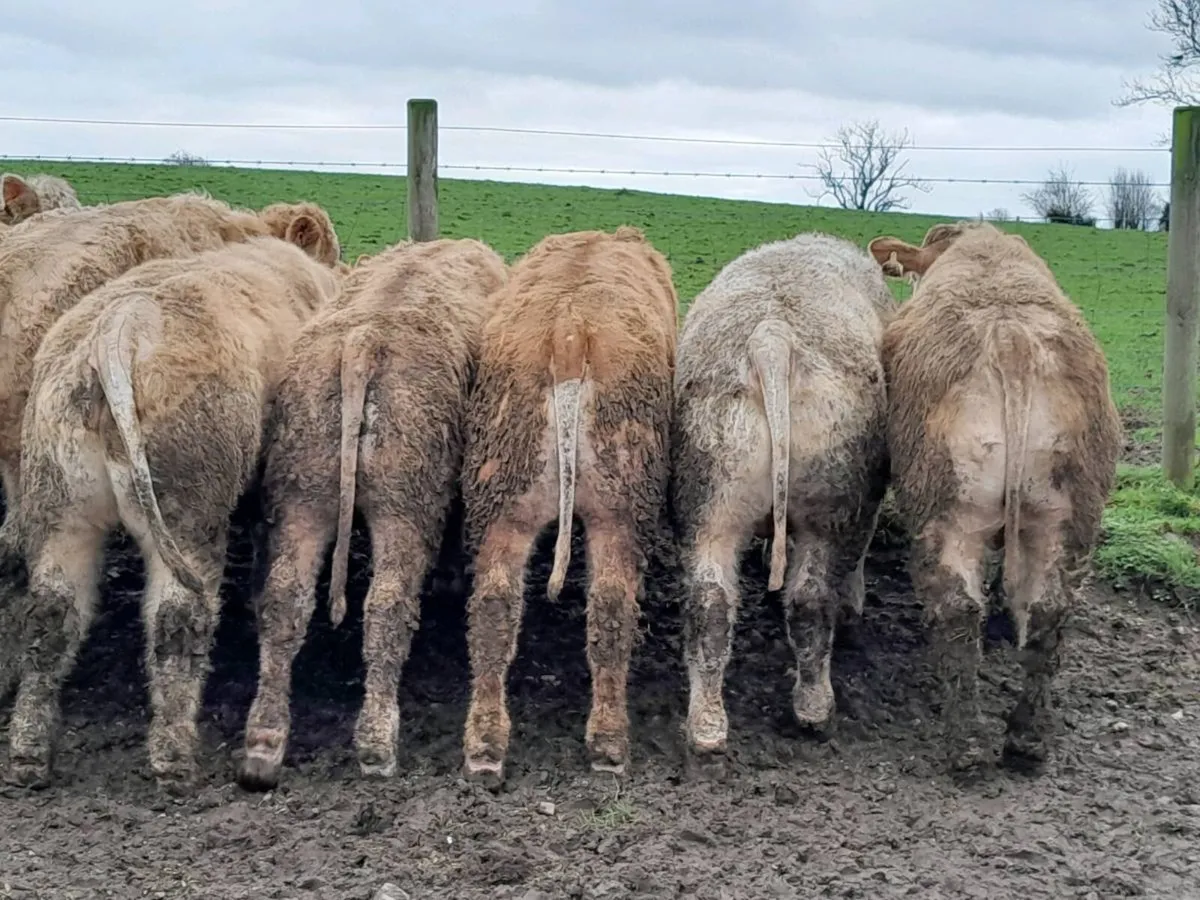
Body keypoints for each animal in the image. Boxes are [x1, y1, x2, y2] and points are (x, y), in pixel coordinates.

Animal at [1, 213, 342, 792]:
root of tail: (117, 332)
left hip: (59, 507)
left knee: (51, 614)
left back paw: (27, 757)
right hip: (188, 510)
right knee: (177, 617)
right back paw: (175, 759)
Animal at [238, 237, 508, 791]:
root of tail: (363, 340)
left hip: (304, 494)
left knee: (284, 601)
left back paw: (263, 747)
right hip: (403, 506)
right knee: (386, 606)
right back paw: (378, 745)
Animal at [459, 226, 678, 787]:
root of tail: (569, 331)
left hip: (503, 484)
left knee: (493, 604)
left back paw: (485, 747)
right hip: (622, 497)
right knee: (612, 605)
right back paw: (609, 744)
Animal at [671, 232, 896, 762]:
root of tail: (772, 337)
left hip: (710, 484)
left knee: (709, 602)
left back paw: (707, 729)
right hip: (831, 494)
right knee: (811, 600)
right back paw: (815, 711)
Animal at [866, 220, 1121, 772]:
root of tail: (1012, 339)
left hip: (950, 507)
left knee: (959, 607)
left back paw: (967, 744)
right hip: (1068, 512)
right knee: (1049, 610)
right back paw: (1027, 738)